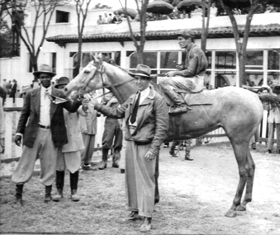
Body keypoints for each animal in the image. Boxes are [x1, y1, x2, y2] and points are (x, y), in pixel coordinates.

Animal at [64, 56, 264, 218]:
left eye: (86, 71)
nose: (66, 89)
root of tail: (256, 98)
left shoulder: (154, 143)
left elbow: (153, 172)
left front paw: (151, 201)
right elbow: (155, 172)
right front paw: (155, 199)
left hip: (238, 141)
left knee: (244, 170)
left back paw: (234, 206)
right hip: (243, 142)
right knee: (252, 167)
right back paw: (244, 203)